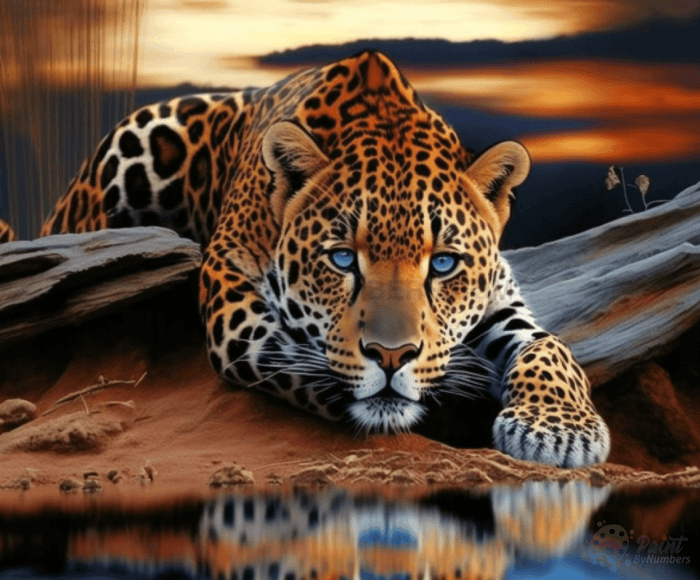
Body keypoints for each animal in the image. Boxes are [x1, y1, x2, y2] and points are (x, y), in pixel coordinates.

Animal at [0, 50, 610, 467]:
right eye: (341, 259)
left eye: (443, 265)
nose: (393, 357)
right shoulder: (231, 285)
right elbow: (287, 357)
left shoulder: (499, 296)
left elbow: (548, 345)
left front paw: (562, 432)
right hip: (132, 151)